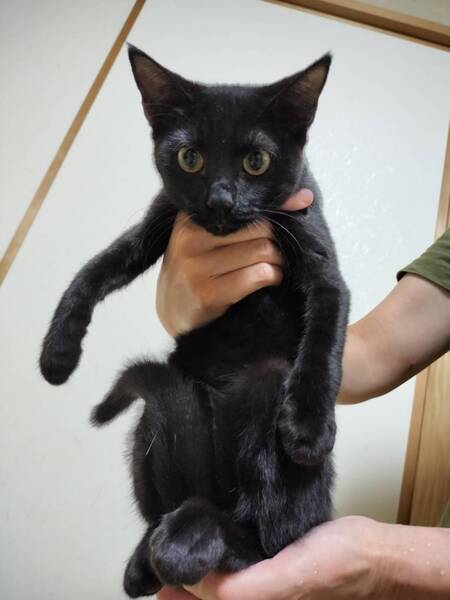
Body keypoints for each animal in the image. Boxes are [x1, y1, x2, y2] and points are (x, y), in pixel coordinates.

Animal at [40, 45, 350, 597]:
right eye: (190, 158)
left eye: (256, 162)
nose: (220, 200)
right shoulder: (160, 219)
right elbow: (96, 268)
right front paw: (58, 352)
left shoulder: (323, 268)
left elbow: (323, 339)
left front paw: (309, 429)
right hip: (152, 422)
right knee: (170, 508)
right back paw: (150, 558)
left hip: (268, 391)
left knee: (268, 542)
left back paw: (198, 539)